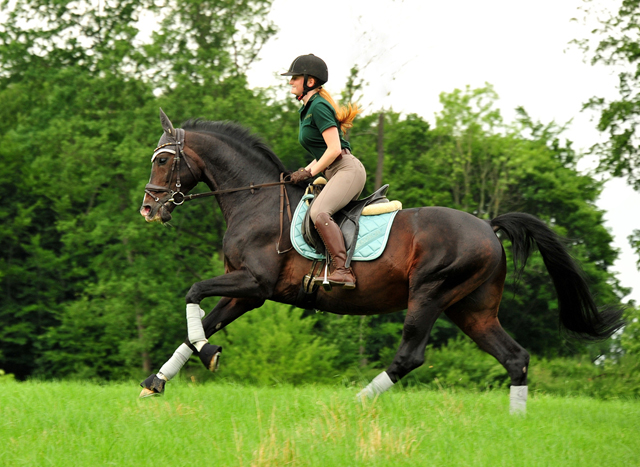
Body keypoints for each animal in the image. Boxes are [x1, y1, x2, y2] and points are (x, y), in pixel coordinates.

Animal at [138, 109, 624, 414]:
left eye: (163, 160)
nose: (148, 209)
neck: (253, 200)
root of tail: (489, 226)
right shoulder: (248, 292)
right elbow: (202, 324)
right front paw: (158, 381)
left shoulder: (254, 284)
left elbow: (194, 294)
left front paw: (208, 355)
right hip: (471, 309)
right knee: (515, 357)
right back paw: (515, 423)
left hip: (431, 292)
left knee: (410, 355)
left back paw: (356, 403)